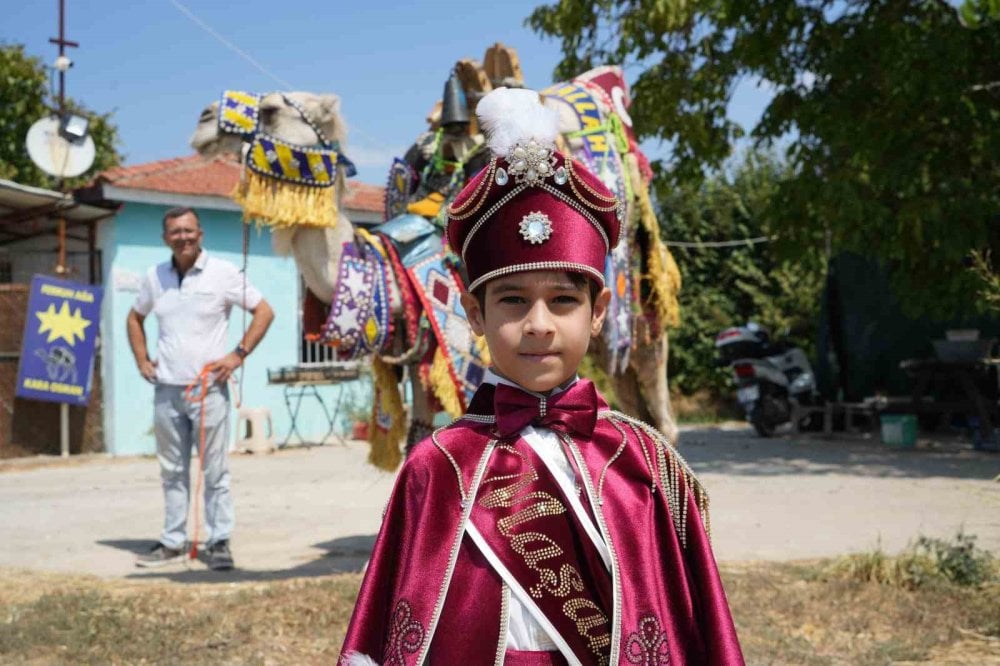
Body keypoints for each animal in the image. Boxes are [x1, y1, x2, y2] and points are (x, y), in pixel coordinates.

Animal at [190, 44, 684, 470]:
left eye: (272, 109)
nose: (204, 120)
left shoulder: (466, 351)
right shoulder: (419, 356)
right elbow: (419, 439)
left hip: (638, 309)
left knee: (659, 402)